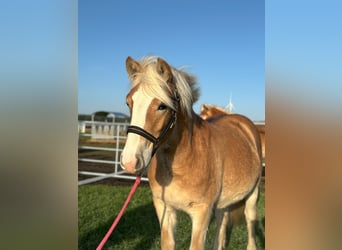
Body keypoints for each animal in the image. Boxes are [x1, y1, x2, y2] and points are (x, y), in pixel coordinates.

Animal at [120, 55, 262, 249]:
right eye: (129, 102)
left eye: (162, 106)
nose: (129, 162)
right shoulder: (164, 209)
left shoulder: (201, 213)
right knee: (222, 220)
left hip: (252, 195)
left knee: (250, 221)